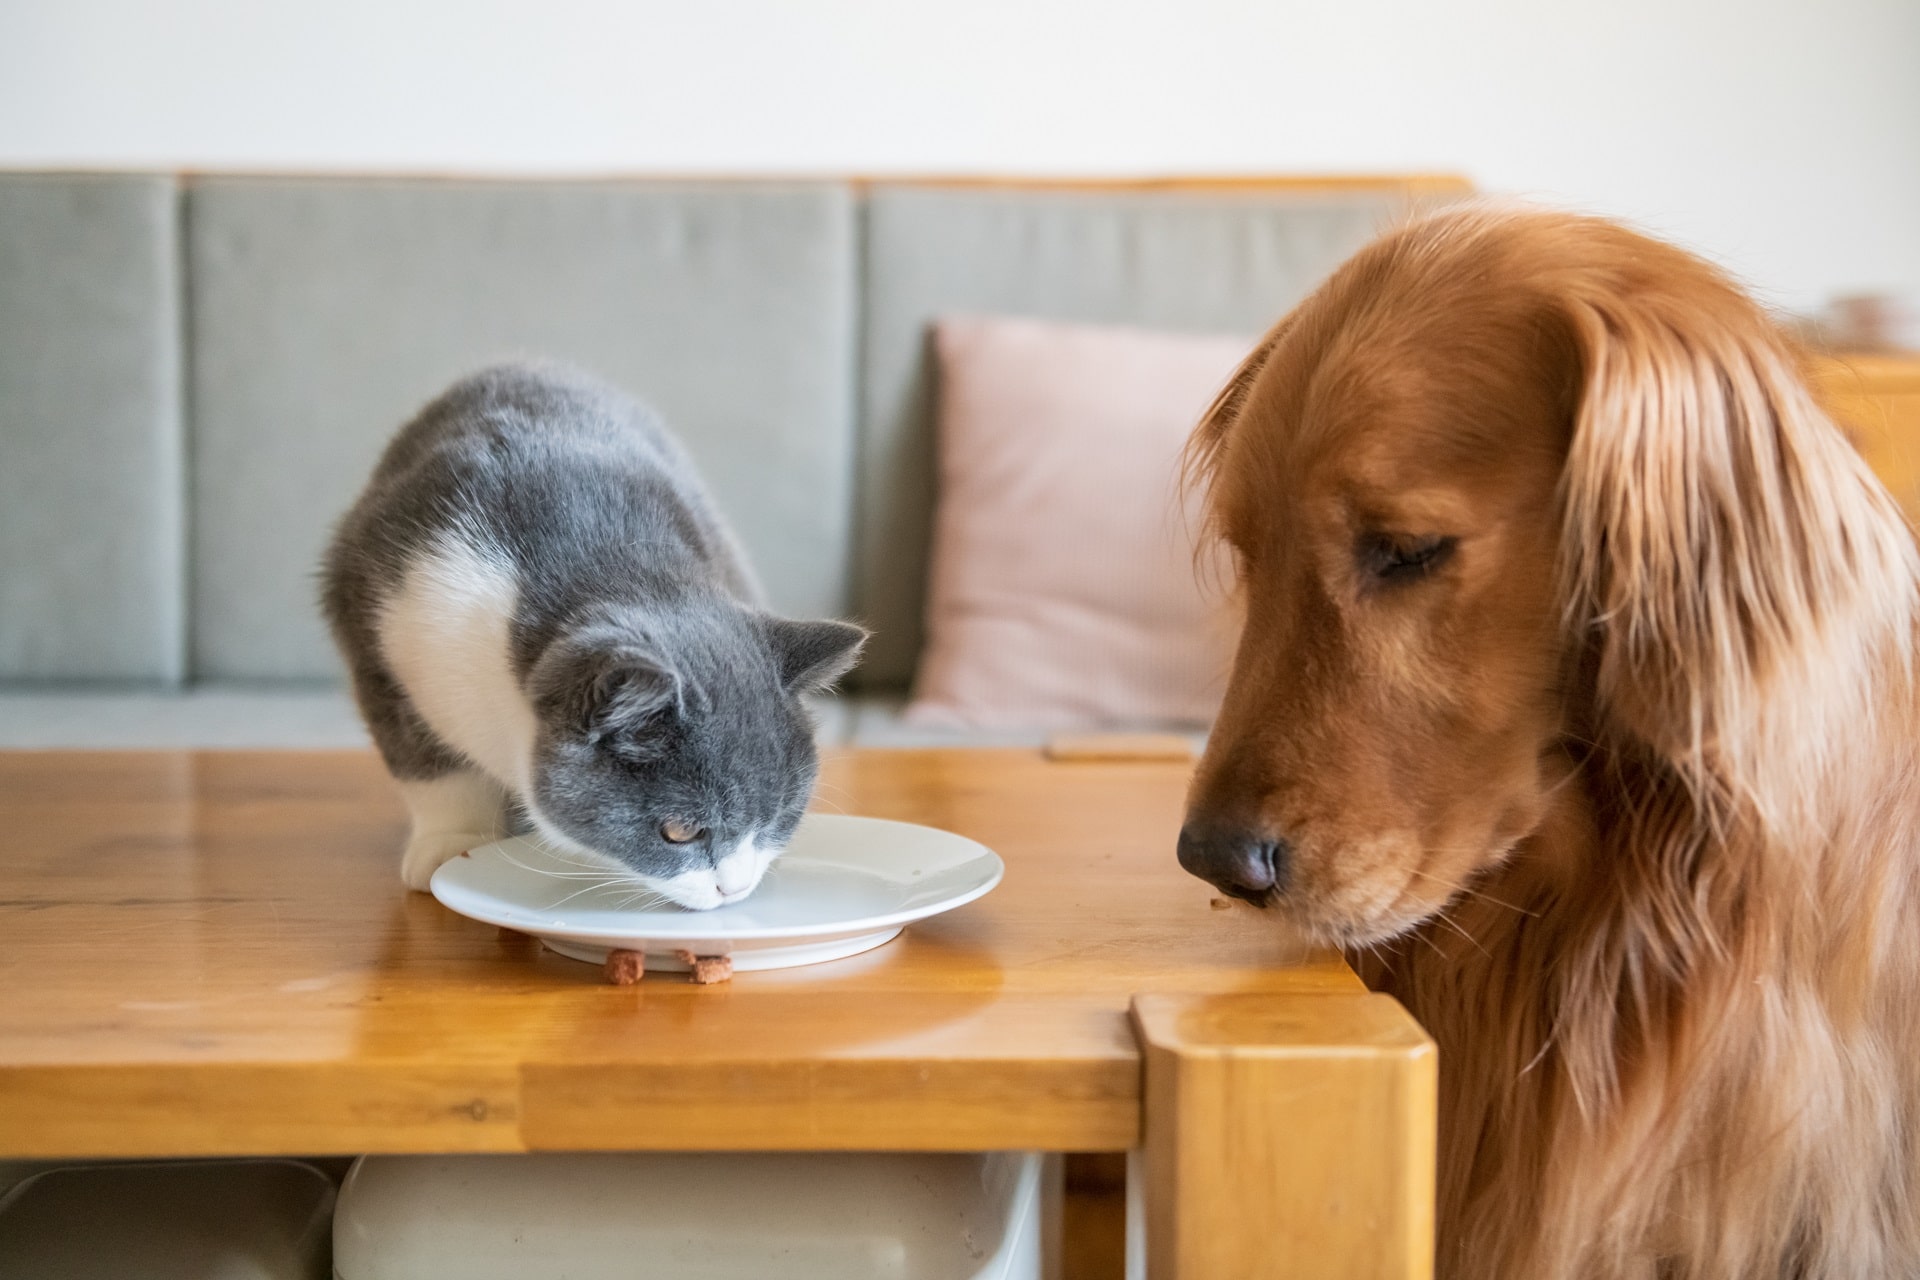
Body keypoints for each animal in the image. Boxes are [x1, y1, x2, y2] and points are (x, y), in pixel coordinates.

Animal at [326, 360, 867, 905]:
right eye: (679, 831)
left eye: (779, 815)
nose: (732, 890)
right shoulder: (385, 623)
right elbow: (429, 767)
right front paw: (453, 843)